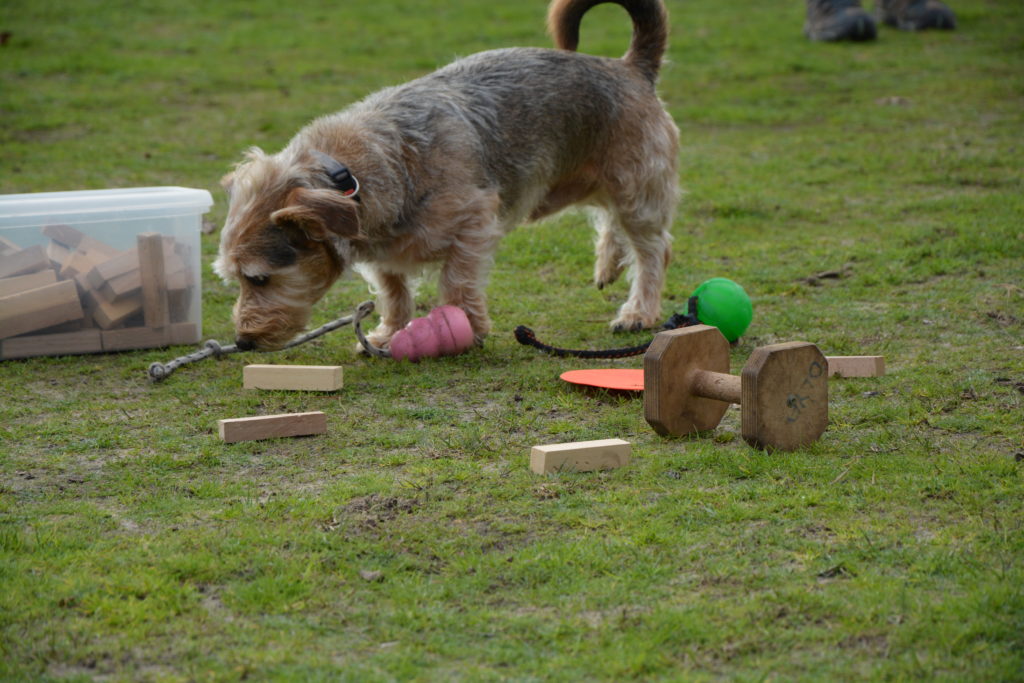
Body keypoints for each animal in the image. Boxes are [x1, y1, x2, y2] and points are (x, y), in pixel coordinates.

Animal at [216, 0, 679, 352]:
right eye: (234, 279)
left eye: (258, 278)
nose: (242, 342)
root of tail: (628, 67)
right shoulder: (382, 254)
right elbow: (393, 290)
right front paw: (387, 333)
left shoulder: (474, 222)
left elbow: (456, 283)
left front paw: (468, 328)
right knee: (612, 222)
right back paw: (609, 264)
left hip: (637, 190)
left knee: (652, 251)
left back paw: (639, 311)